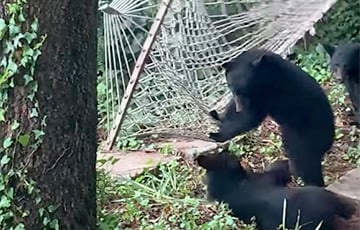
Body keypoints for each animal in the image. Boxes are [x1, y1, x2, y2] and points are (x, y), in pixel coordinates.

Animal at [208, 48, 334, 187]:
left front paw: (217, 134)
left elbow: (250, 117)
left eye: (245, 89)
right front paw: (217, 116)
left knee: (305, 162)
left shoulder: (267, 94)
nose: (239, 107)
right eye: (231, 87)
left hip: (305, 137)